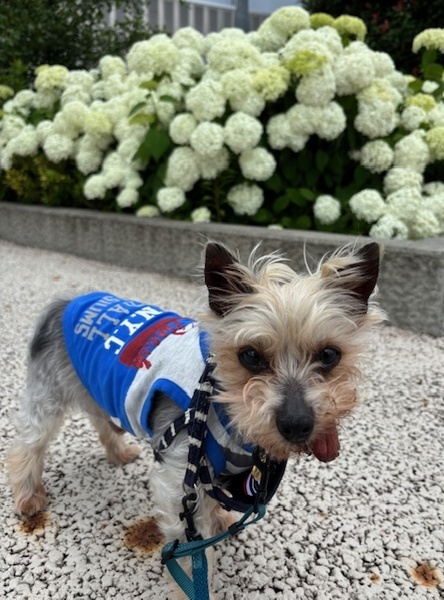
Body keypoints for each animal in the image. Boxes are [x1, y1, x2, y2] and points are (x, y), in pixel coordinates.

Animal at [7, 241, 385, 597]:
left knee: (100, 418)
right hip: (49, 394)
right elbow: (193, 554)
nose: (296, 424)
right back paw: (29, 497)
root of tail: (64, 303)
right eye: (250, 355)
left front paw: (219, 519)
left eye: (330, 354)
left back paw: (119, 453)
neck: (224, 408)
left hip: (94, 384)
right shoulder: (179, 479)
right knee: (26, 444)